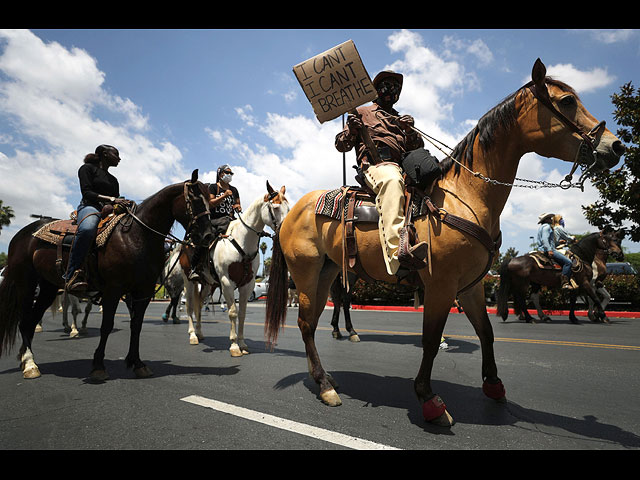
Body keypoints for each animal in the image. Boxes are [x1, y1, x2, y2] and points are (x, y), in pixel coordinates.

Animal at [0, 171, 215, 380]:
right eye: (195, 199)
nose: (209, 235)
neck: (137, 236)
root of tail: (22, 234)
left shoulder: (143, 291)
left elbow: (136, 325)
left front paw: (137, 364)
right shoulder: (114, 289)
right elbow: (107, 325)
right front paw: (98, 366)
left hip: (48, 287)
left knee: (31, 321)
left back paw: (26, 359)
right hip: (26, 285)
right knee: (24, 321)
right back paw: (29, 363)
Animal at [181, 182, 288, 354]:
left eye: (288, 207)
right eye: (276, 207)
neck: (242, 241)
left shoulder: (247, 284)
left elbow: (242, 314)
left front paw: (242, 343)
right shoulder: (226, 283)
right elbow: (232, 312)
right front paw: (234, 345)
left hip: (208, 284)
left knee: (199, 304)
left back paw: (199, 332)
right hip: (188, 281)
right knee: (190, 305)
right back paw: (192, 335)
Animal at [496, 228, 624, 322]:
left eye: (618, 240)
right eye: (608, 240)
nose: (620, 254)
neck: (582, 257)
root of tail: (513, 259)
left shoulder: (578, 285)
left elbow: (574, 300)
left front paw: (574, 318)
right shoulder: (586, 282)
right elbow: (595, 298)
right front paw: (602, 316)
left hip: (530, 283)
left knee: (531, 297)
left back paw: (540, 316)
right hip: (522, 283)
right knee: (521, 299)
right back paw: (529, 318)